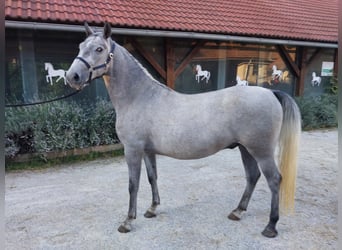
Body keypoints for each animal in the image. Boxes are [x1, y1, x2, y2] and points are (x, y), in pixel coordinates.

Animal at [65, 22, 300, 237]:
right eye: (80, 46)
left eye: (99, 49)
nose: (72, 76)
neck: (139, 97)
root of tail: (271, 93)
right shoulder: (147, 151)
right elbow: (152, 178)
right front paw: (152, 209)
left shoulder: (132, 150)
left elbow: (133, 184)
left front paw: (128, 221)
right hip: (245, 148)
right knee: (252, 176)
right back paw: (238, 211)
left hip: (261, 151)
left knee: (274, 180)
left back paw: (270, 226)